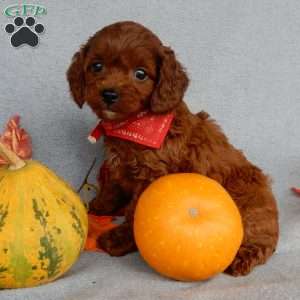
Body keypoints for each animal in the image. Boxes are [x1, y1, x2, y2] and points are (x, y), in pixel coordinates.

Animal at [67, 19, 278, 276]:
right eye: (96, 66)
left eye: (140, 74)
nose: (109, 93)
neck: (134, 124)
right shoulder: (117, 165)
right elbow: (112, 187)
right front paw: (99, 207)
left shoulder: (152, 176)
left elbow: (135, 211)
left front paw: (118, 240)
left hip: (250, 211)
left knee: (261, 240)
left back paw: (241, 258)